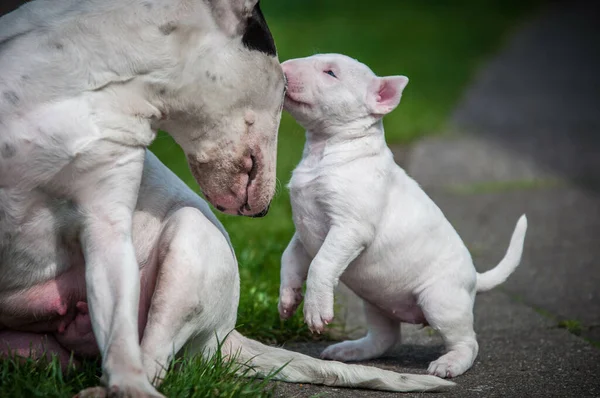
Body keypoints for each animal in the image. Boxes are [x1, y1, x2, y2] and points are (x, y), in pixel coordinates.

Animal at [278, 53, 528, 380]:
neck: (326, 149)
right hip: (375, 302)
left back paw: (449, 364)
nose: (282, 67)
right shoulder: (304, 230)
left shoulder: (350, 227)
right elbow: (289, 257)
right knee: (385, 337)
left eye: (331, 73)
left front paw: (315, 311)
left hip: (440, 299)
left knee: (467, 341)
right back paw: (349, 351)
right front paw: (287, 300)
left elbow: (321, 263)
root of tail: (474, 277)